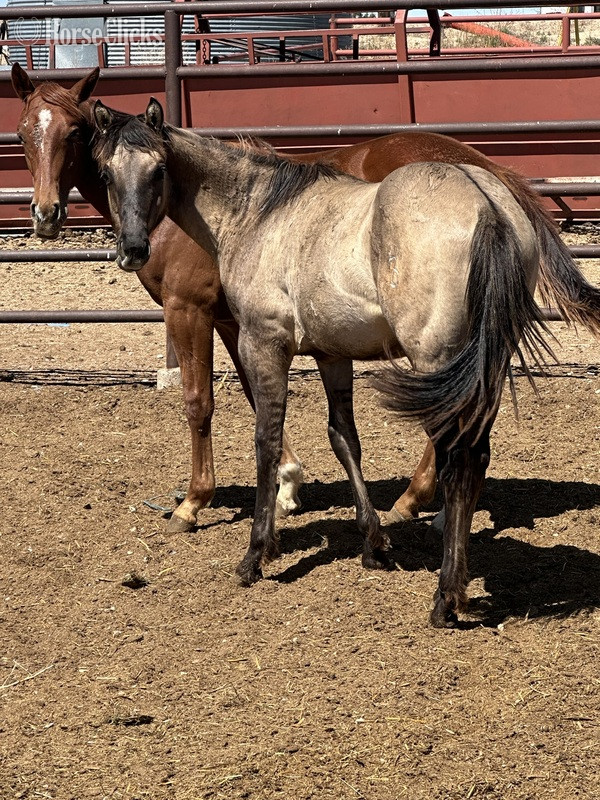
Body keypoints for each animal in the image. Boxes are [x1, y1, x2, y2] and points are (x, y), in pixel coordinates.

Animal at [13, 66, 600, 535]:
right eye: (23, 132)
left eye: (74, 132)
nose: (44, 215)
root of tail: (485, 179)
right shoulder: (237, 321)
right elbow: (255, 396)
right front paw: (287, 485)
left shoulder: (189, 311)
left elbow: (199, 402)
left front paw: (194, 503)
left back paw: (413, 502)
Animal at [91, 98, 553, 627]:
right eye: (106, 172)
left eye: (159, 169)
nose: (133, 250)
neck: (260, 214)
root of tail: (485, 203)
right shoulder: (333, 356)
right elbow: (344, 439)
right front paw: (374, 544)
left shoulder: (263, 343)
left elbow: (266, 441)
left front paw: (256, 553)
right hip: (482, 369)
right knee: (474, 458)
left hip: (438, 362)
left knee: (459, 461)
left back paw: (445, 596)